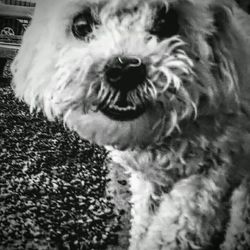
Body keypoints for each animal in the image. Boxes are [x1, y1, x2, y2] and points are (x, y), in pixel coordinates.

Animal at [11, 0, 250, 249]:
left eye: (166, 21)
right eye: (81, 25)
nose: (124, 70)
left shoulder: (212, 172)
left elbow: (172, 231)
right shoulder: (149, 181)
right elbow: (144, 217)